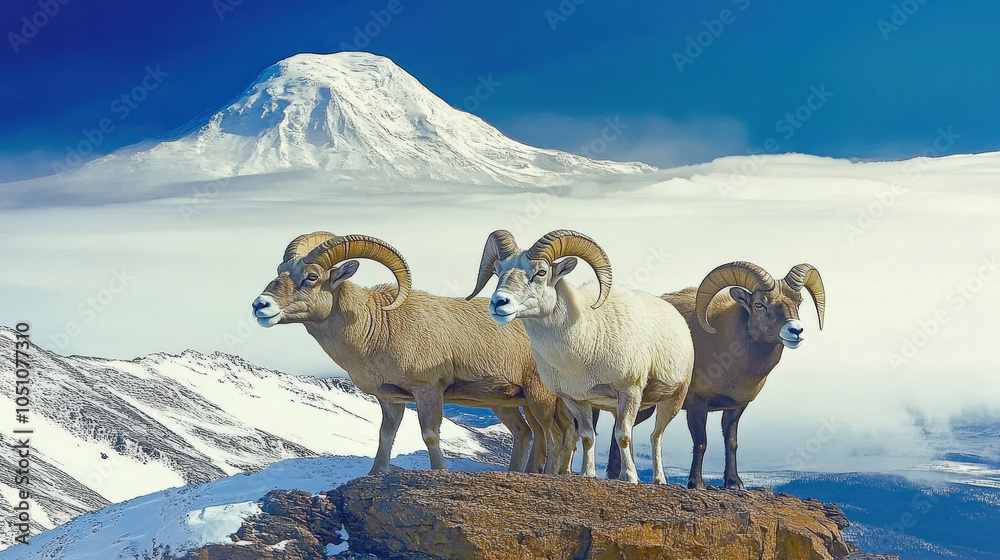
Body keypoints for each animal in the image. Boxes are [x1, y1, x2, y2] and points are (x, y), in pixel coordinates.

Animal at [251, 232, 573, 475]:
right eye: (280, 272)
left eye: (312, 276)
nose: (260, 305)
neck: (378, 327)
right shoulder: (391, 400)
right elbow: (385, 436)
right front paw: (377, 473)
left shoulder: (427, 390)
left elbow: (429, 434)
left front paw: (440, 472)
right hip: (508, 402)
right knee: (527, 433)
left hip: (540, 397)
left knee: (555, 436)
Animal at [467, 229, 694, 483]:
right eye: (498, 271)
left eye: (541, 272)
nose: (499, 303)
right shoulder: (576, 400)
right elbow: (587, 436)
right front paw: (589, 474)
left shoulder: (629, 390)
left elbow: (623, 436)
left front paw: (631, 478)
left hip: (671, 400)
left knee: (656, 436)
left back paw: (658, 479)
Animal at [599, 261, 826, 489]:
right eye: (759, 304)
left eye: (798, 302)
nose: (795, 331)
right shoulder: (697, 404)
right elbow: (701, 442)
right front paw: (696, 483)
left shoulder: (736, 408)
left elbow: (732, 442)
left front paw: (734, 482)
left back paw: (616, 474)